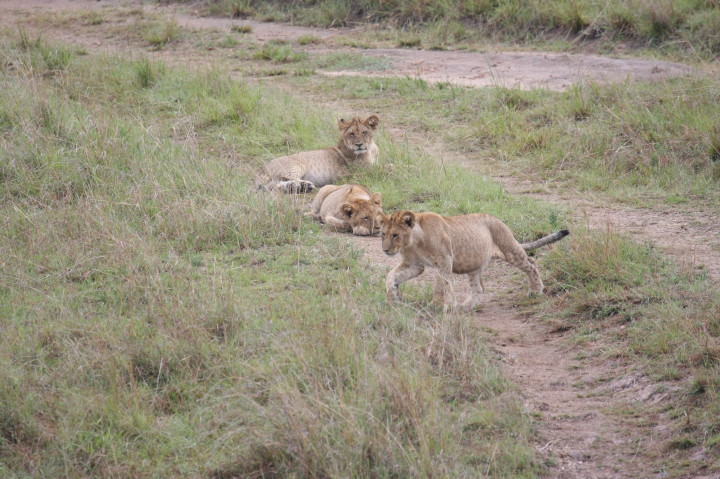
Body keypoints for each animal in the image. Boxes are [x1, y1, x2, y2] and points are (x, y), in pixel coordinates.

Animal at [379, 210, 569, 310]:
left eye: (395, 235)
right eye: (383, 234)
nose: (385, 250)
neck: (413, 242)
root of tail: (497, 219)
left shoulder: (445, 261)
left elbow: (440, 285)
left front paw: (436, 305)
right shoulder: (414, 265)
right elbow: (391, 277)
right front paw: (393, 299)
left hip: (510, 249)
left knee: (531, 264)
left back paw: (536, 290)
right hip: (474, 265)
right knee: (478, 288)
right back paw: (465, 307)